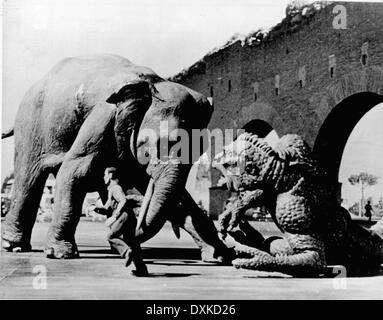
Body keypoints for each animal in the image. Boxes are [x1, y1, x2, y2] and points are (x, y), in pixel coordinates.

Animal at [1, 53, 232, 262]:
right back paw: (14, 246)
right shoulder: (104, 115)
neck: (153, 84)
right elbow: (76, 170)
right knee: (28, 178)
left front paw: (221, 256)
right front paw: (59, 254)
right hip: (30, 124)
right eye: (155, 146)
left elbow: (170, 192)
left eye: (198, 151)